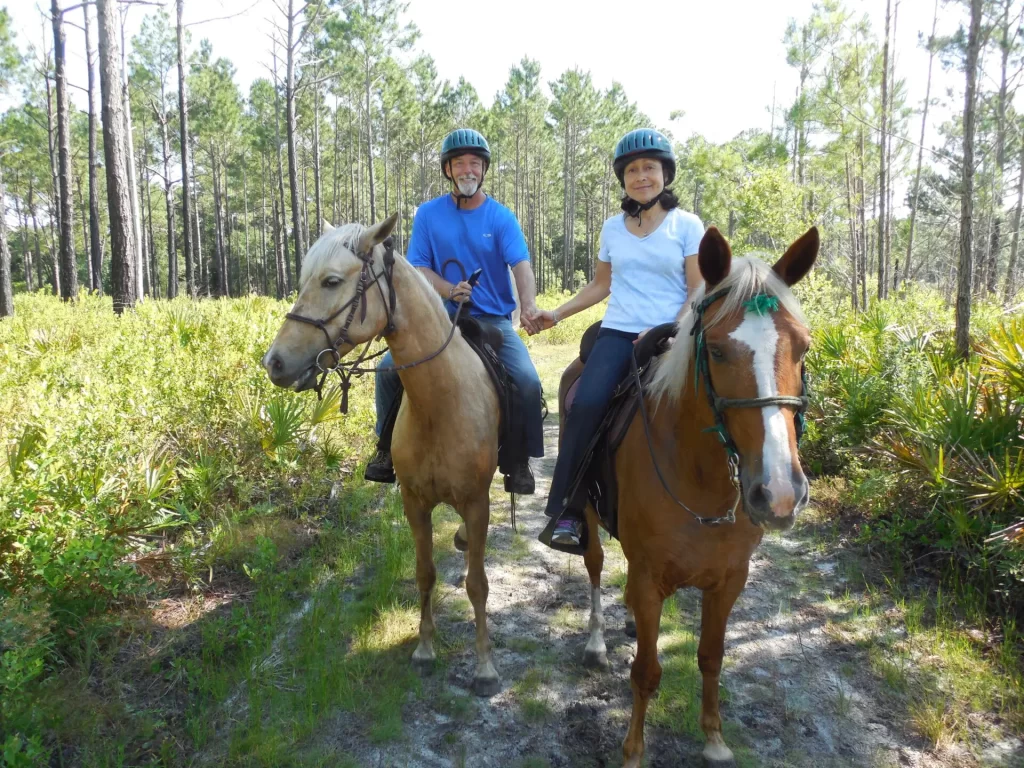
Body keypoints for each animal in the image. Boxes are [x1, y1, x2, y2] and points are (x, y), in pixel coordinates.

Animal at [264, 215, 503, 696]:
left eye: (331, 281)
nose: (274, 362)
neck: (440, 404)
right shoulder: (414, 502)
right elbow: (425, 572)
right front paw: (425, 649)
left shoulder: (476, 502)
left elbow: (477, 584)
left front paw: (485, 665)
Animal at [565, 225, 819, 765]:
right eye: (717, 351)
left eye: (803, 348)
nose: (779, 494)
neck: (701, 480)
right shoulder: (649, 579)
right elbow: (646, 672)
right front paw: (633, 751)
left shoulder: (728, 581)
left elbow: (711, 657)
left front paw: (714, 740)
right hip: (588, 518)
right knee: (595, 566)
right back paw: (597, 642)